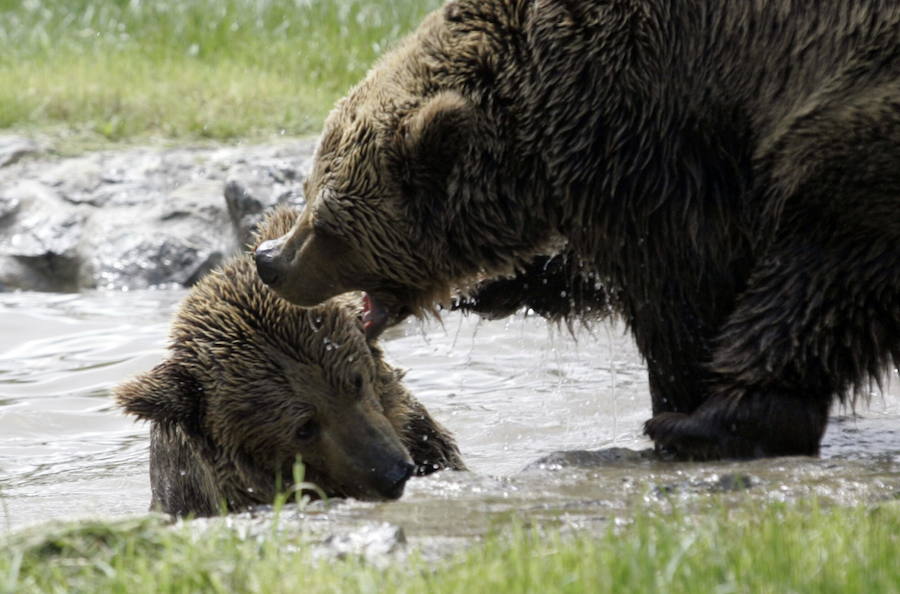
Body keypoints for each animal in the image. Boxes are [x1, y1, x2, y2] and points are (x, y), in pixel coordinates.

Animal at [253, 1, 900, 458]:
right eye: (308, 191)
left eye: (325, 219)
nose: (269, 259)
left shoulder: (663, 143)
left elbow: (680, 284)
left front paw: (680, 392)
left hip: (856, 120)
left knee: (818, 274)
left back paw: (708, 422)